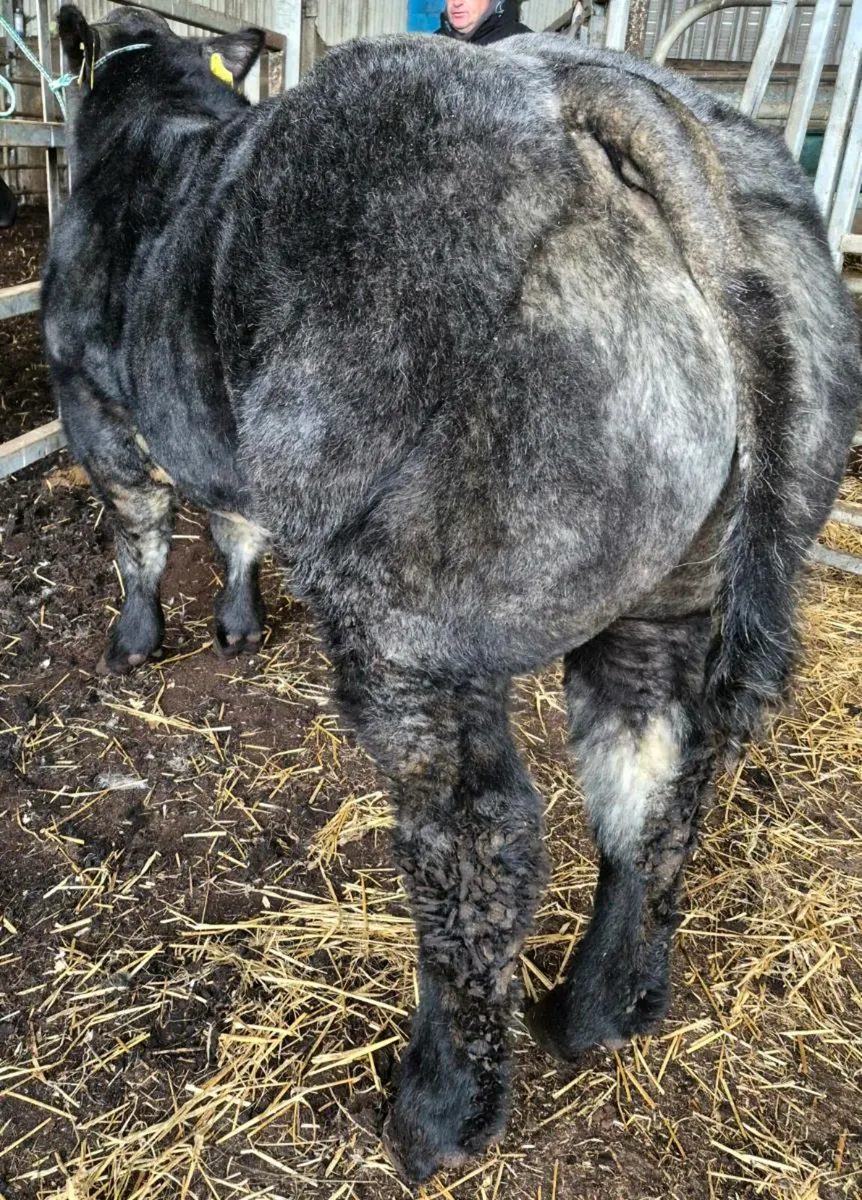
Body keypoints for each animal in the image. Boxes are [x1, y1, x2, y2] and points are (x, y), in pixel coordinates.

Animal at [42, 5, 860, 1184]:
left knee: (478, 841)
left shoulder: (92, 402)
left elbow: (141, 532)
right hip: (673, 594)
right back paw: (603, 1008)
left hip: (411, 626)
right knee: (656, 780)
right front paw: (237, 622)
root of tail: (578, 89)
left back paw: (437, 1111)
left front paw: (137, 638)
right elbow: (234, 527)